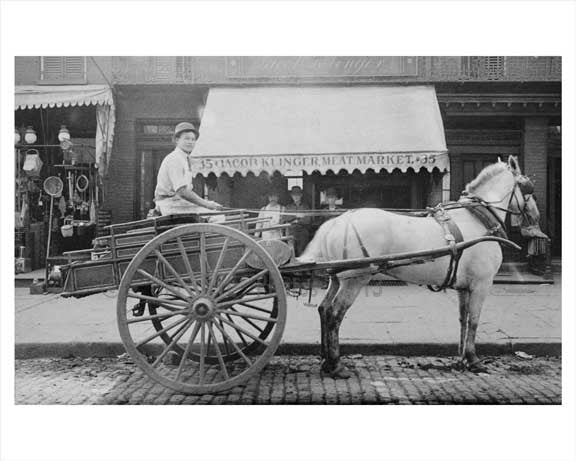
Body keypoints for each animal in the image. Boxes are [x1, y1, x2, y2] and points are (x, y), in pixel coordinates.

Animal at [300, 155, 544, 378]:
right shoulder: (481, 285)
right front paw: (474, 360)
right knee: (335, 314)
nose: (536, 216)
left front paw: (462, 357)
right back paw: (335, 364)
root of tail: (338, 221)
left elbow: (463, 319)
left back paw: (326, 361)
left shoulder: (464, 287)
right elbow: (474, 321)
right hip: (355, 279)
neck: (478, 218)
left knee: (324, 309)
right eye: (528, 188)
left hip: (337, 277)